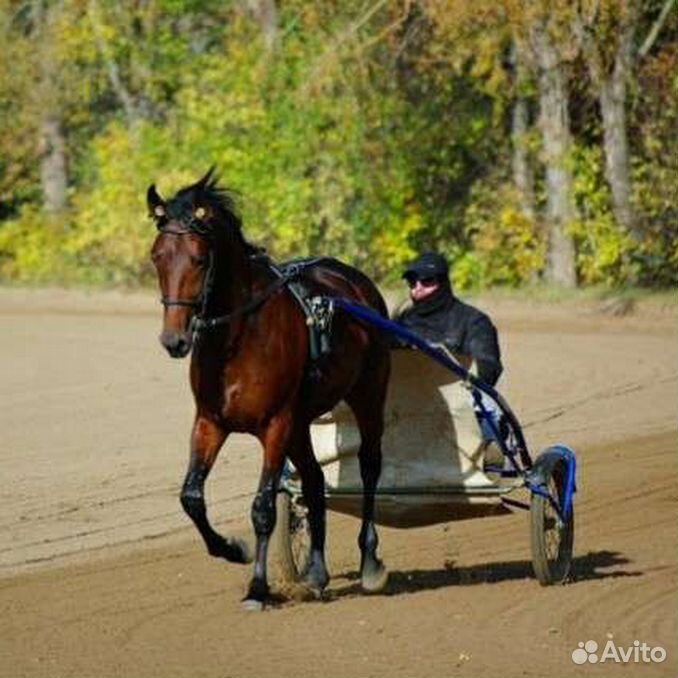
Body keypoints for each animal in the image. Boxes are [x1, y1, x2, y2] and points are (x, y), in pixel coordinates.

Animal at [149, 170, 394, 612]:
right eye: (157, 256)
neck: (238, 338)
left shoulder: (276, 425)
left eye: (198, 259)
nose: (174, 340)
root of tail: (355, 282)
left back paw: (369, 561)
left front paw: (257, 587)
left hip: (366, 395)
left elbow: (263, 507)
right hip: (300, 425)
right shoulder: (210, 422)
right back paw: (316, 573)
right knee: (313, 480)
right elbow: (191, 497)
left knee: (369, 465)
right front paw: (232, 549)